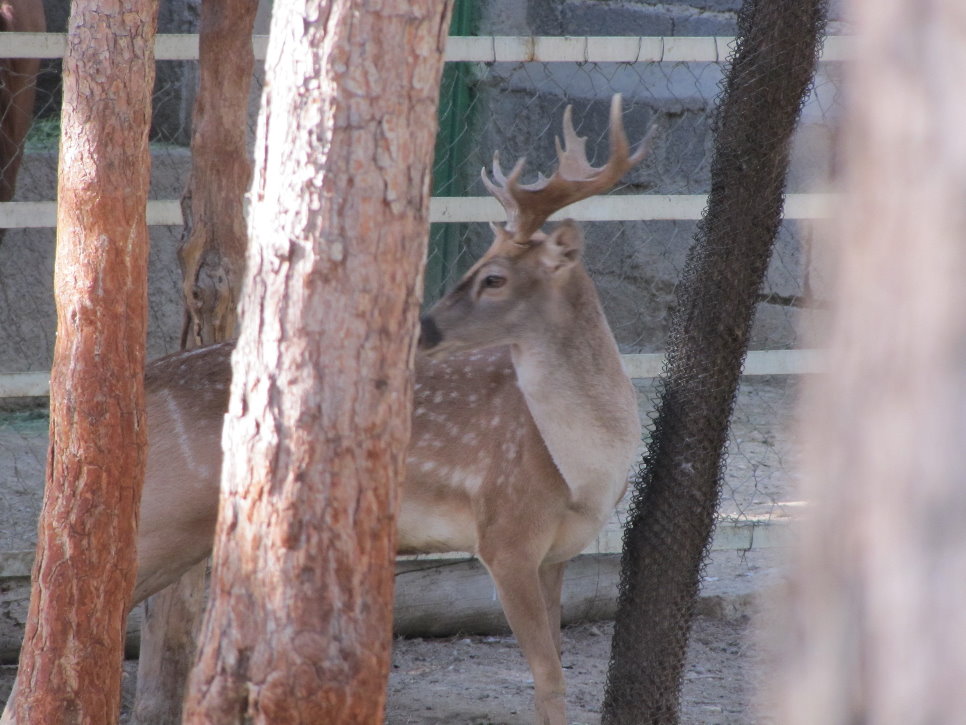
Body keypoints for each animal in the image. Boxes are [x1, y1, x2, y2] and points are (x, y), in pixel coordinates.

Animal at [1, 95, 650, 725]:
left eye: (493, 276)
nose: (425, 327)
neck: (584, 475)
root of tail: (148, 380)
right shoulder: (504, 531)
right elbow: (549, 682)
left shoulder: (556, 552)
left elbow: (555, 673)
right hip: (167, 509)